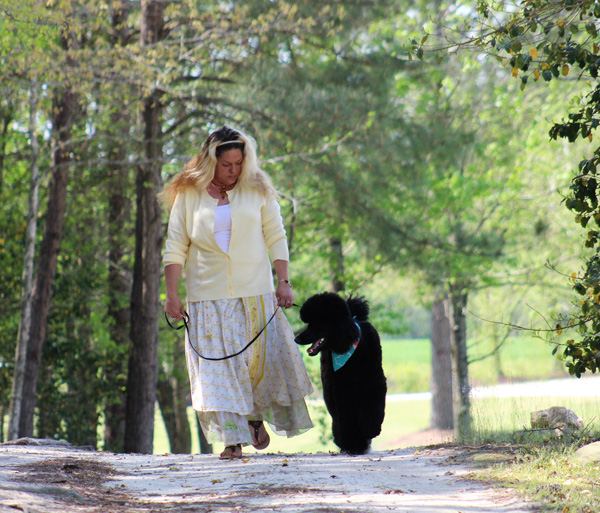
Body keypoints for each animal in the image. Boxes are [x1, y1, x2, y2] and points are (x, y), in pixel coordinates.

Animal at [295, 292, 386, 455]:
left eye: (317, 323)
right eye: (309, 323)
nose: (296, 338)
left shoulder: (374, 380)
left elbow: (375, 407)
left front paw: (370, 429)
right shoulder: (341, 389)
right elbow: (346, 417)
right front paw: (353, 445)